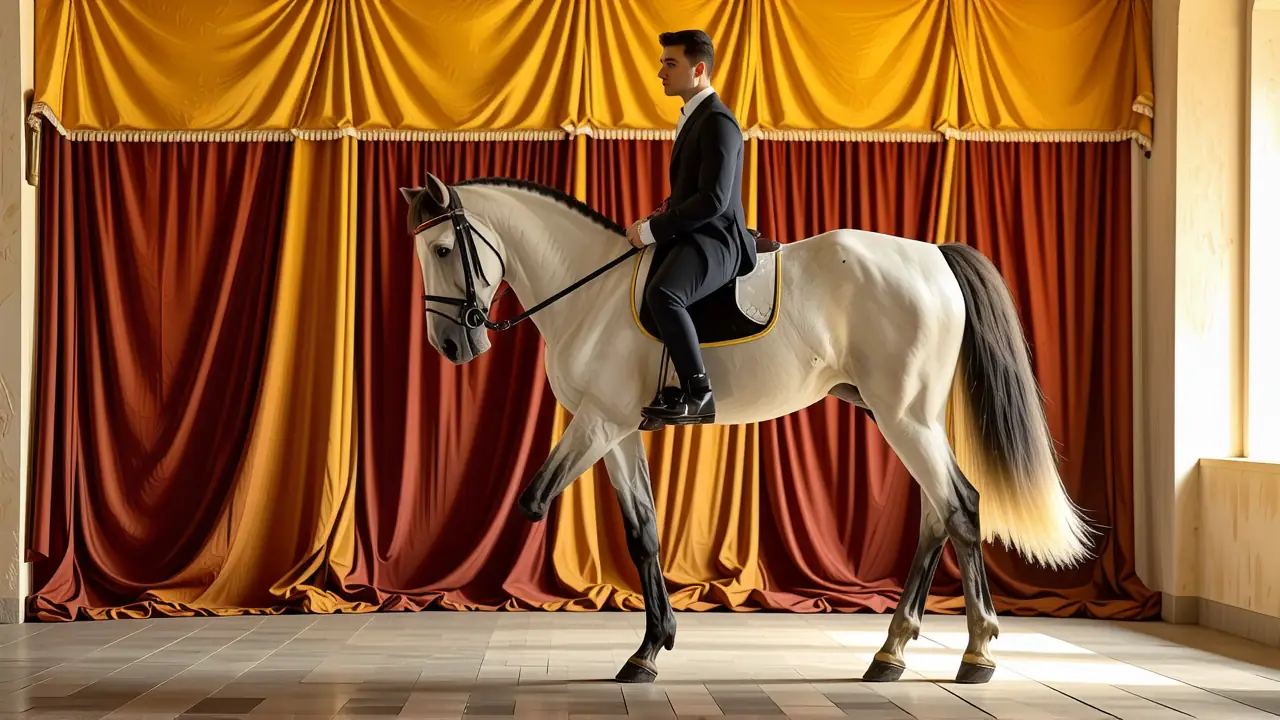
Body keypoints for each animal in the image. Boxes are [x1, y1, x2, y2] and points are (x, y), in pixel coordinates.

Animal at [399, 172, 1094, 686]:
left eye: (443, 250)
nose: (450, 346)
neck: (587, 293)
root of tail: (933, 256)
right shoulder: (618, 431)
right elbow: (643, 532)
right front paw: (650, 649)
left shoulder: (599, 420)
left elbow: (534, 500)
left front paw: (644, 647)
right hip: (902, 416)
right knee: (936, 513)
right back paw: (890, 654)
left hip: (905, 415)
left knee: (962, 505)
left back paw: (977, 654)